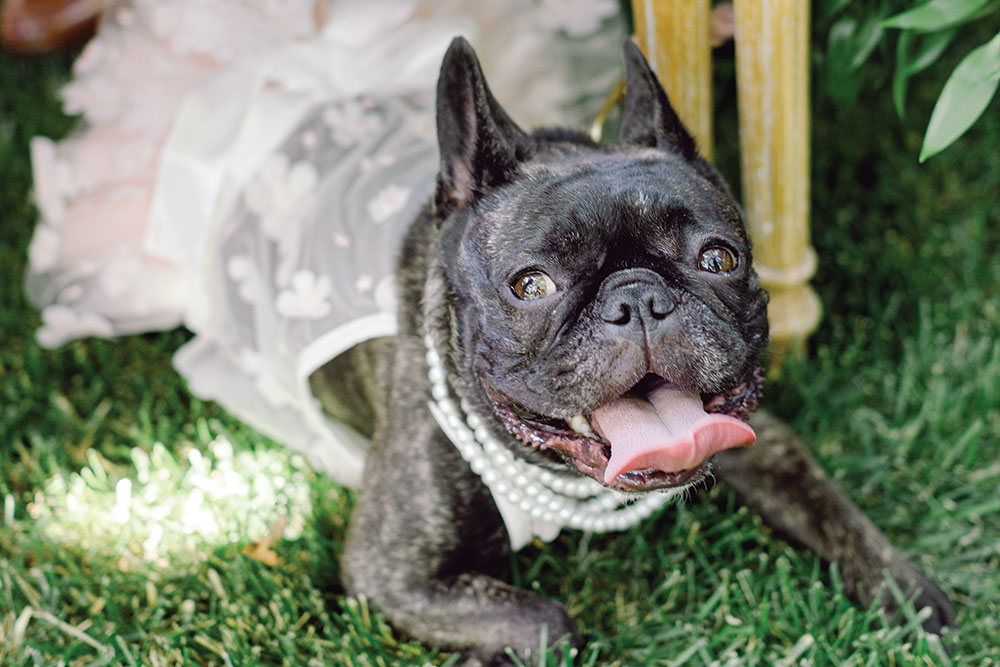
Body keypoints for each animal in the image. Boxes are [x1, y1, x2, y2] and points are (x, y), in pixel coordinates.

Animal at [306, 39, 952, 664]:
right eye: (530, 285)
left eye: (719, 258)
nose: (637, 297)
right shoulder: (391, 571)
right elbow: (545, 621)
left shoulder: (765, 442)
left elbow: (828, 504)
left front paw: (907, 593)